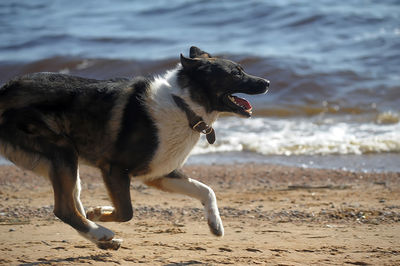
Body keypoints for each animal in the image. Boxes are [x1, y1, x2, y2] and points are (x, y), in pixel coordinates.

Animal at [0, 47, 270, 249]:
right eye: (236, 73)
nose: (267, 82)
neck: (183, 105)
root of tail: (6, 89)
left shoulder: (159, 173)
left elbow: (206, 190)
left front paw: (215, 224)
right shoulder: (114, 169)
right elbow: (126, 212)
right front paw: (101, 214)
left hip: (65, 162)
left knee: (72, 204)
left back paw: (102, 239)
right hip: (62, 150)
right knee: (64, 209)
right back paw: (102, 233)